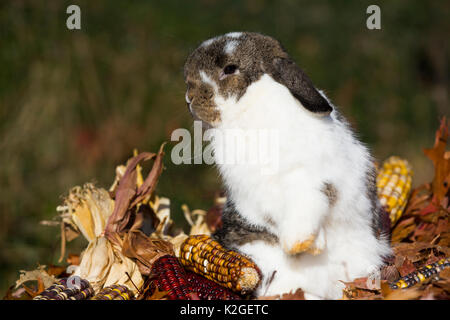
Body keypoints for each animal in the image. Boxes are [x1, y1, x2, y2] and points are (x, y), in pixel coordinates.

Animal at [183, 32, 390, 300]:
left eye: (230, 68)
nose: (189, 97)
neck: (249, 109)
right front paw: (308, 246)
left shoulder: (308, 180)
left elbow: (306, 209)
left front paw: (299, 244)